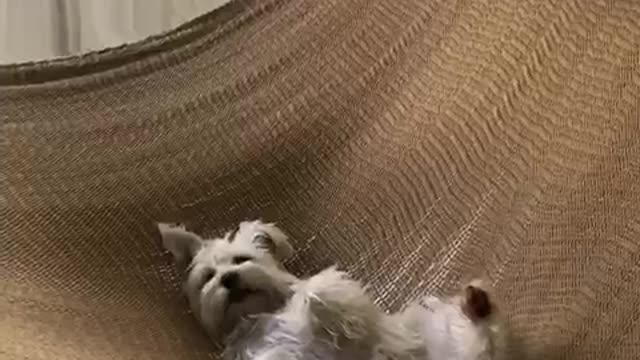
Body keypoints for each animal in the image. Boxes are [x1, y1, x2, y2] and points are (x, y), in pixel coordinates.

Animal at [159, 221, 504, 358]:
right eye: (208, 277)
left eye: (241, 260)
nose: (228, 279)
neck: (262, 316)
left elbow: (321, 291)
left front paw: (311, 294)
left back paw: (478, 306)